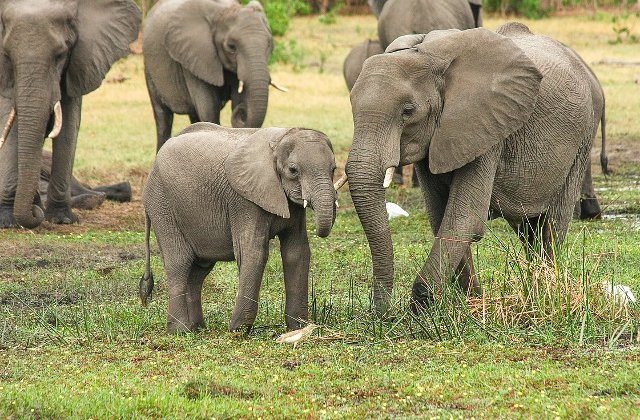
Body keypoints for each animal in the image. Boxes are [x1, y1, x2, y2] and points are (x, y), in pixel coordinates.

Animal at [0, 0, 141, 229]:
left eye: (60, 55)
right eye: (7, 55)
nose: (35, 213)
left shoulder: (78, 62)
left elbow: (69, 124)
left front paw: (62, 219)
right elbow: (8, 121)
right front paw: (8, 221)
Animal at [139, 123, 338, 333]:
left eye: (334, 169)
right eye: (293, 170)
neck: (280, 139)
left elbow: (297, 252)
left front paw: (298, 328)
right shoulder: (244, 200)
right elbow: (254, 252)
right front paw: (238, 330)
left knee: (199, 270)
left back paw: (198, 329)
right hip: (161, 205)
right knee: (179, 262)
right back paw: (180, 331)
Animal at [143, 0, 284, 151]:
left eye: (269, 44)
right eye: (231, 47)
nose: (242, 112)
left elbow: (237, 99)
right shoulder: (195, 57)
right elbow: (208, 109)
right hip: (149, 68)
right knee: (163, 117)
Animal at [345, 23, 607, 315]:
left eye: (408, 111)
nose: (384, 315)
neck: (427, 56)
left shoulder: (487, 126)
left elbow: (464, 218)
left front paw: (422, 307)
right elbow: (440, 216)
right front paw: (469, 301)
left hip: (583, 136)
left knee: (552, 223)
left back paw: (546, 291)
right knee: (529, 228)